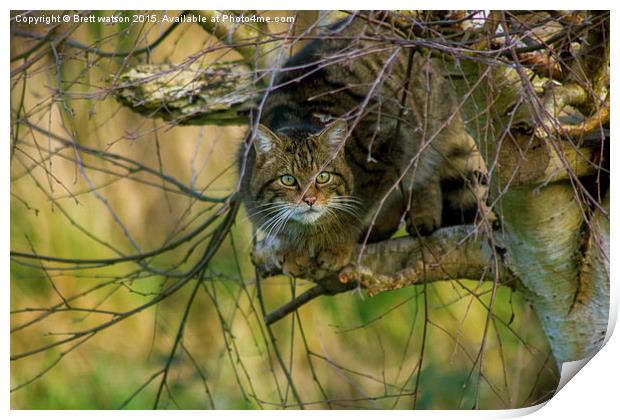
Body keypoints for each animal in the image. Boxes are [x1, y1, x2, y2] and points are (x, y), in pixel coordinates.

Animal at [237, 13, 484, 276]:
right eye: (288, 180)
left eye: (323, 177)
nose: (309, 200)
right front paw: (289, 247)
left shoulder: (389, 152)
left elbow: (359, 213)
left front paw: (337, 244)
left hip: (423, 130)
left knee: (424, 176)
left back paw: (422, 215)